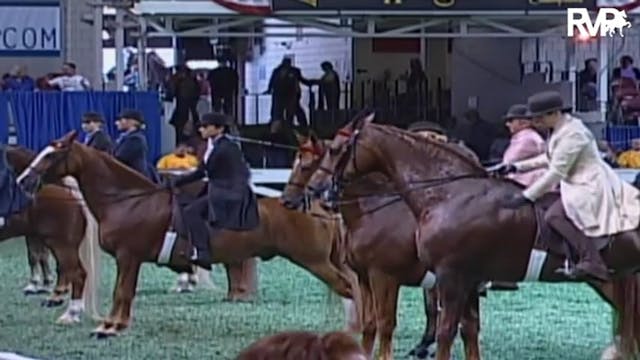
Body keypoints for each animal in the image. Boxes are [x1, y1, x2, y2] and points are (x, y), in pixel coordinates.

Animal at [3, 146, 101, 324]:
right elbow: (38, 256)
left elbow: (37, 256)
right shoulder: (33, 234)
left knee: (75, 272)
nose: (23, 183)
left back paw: (69, 312)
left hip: (61, 244)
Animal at [17, 131, 360, 338]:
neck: (129, 201)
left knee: (347, 287)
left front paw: (110, 328)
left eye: (52, 155)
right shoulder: (131, 260)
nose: (23, 180)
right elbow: (125, 293)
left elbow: (121, 292)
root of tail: (317, 205)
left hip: (315, 261)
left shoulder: (128, 257)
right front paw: (115, 324)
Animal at [280, 134, 440, 358]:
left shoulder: (385, 279)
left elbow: (384, 324)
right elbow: (369, 323)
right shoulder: (365, 276)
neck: (372, 212)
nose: (286, 200)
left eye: (306, 166)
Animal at [304, 114, 640, 358]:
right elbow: (466, 331)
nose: (316, 190)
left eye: (335, 150)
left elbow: (440, 332)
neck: (449, 195)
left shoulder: (434, 277)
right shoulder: (463, 280)